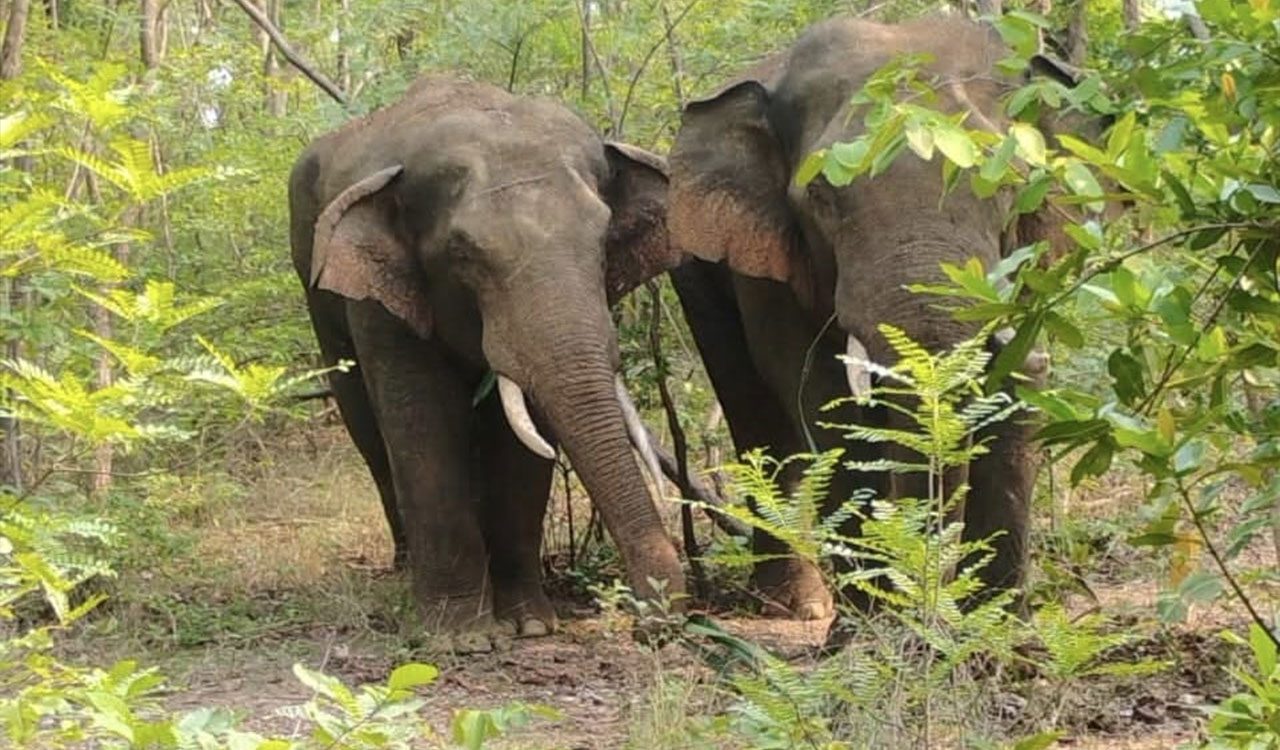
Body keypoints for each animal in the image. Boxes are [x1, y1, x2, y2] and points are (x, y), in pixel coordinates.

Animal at [289, 75, 686, 650]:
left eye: (603, 239)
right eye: (463, 253)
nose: (651, 626)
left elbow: (524, 435)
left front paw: (531, 625)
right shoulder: (384, 305)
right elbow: (423, 423)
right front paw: (464, 638)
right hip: (316, 292)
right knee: (365, 427)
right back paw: (405, 568)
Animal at [667, 16, 1089, 621]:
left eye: (1010, 182)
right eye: (821, 194)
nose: (928, 613)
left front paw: (998, 630)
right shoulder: (765, 253)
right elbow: (811, 384)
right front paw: (868, 622)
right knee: (756, 414)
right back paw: (799, 606)